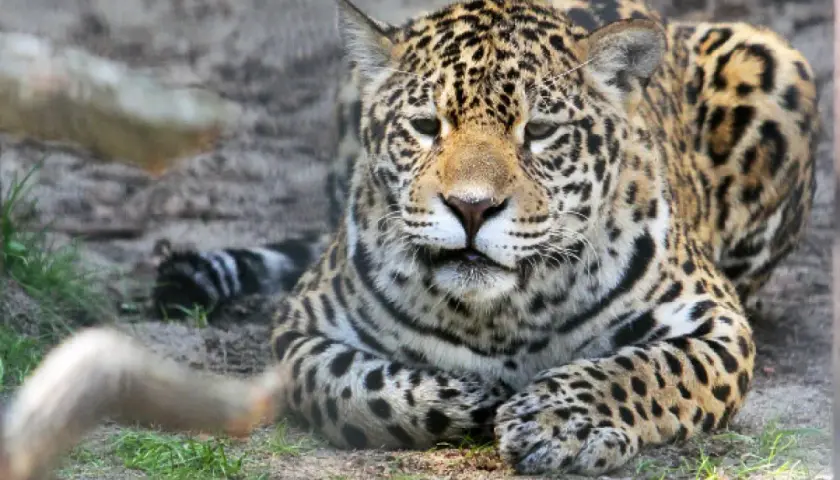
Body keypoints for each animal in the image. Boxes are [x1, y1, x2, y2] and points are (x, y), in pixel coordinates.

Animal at [0, 0, 818, 478]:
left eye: (540, 133)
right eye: (427, 126)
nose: (472, 207)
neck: (503, 316)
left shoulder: (714, 324)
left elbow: (643, 369)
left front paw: (560, 419)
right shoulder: (302, 331)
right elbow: (359, 383)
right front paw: (475, 398)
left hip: (777, 61)